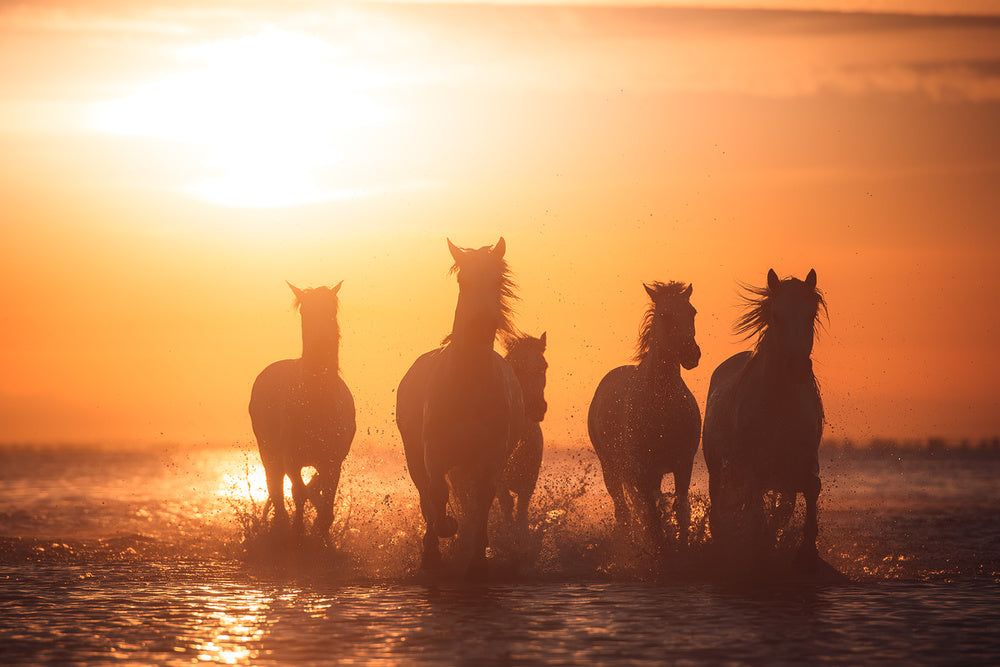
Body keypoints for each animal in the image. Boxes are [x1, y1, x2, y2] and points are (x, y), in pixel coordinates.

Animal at [248, 281, 356, 538]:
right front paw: (297, 530)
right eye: (304, 312)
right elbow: (298, 493)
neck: (317, 400)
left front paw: (321, 528)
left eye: (331, 310)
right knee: (276, 486)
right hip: (269, 452)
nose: (321, 339)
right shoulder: (292, 459)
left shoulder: (332, 461)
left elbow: (323, 497)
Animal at [396, 238, 525, 578]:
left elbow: (482, 500)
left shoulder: (490, 458)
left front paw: (478, 558)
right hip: (415, 456)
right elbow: (436, 495)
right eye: (463, 281)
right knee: (426, 495)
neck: (467, 384)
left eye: (496, 280)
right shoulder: (434, 454)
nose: (481, 323)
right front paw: (440, 540)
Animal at [496, 332, 548, 531]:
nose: (537, 407)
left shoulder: (529, 481)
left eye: (544, 366)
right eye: (516, 367)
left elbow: (522, 509)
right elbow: (507, 503)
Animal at [588, 281, 702, 552]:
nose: (691, 354)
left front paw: (682, 547)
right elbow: (650, 516)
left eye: (692, 312)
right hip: (611, 469)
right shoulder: (641, 470)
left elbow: (680, 510)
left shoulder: (683, 463)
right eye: (665, 315)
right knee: (624, 513)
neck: (661, 404)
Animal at [702, 269, 826, 570]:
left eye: (811, 313)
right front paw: (758, 546)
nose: (797, 367)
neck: (779, 405)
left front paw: (807, 550)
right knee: (721, 496)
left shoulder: (803, 460)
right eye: (776, 315)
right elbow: (754, 502)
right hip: (716, 464)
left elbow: (810, 489)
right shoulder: (752, 465)